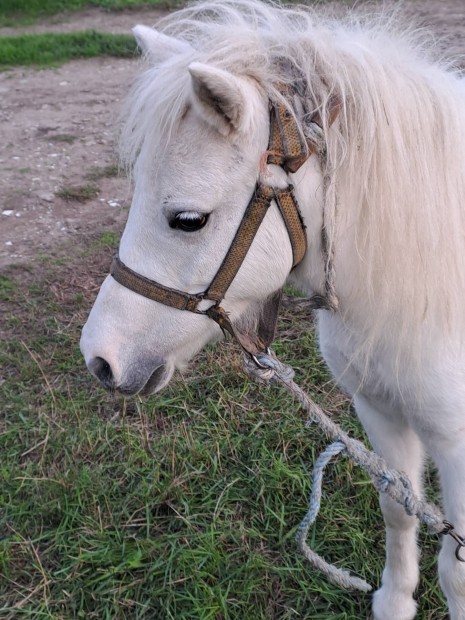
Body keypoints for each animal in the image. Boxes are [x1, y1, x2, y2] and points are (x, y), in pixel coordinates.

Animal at [80, 2, 465, 616]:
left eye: (188, 220)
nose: (100, 359)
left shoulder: (458, 448)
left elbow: (455, 571)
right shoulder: (378, 409)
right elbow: (398, 509)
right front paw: (394, 601)